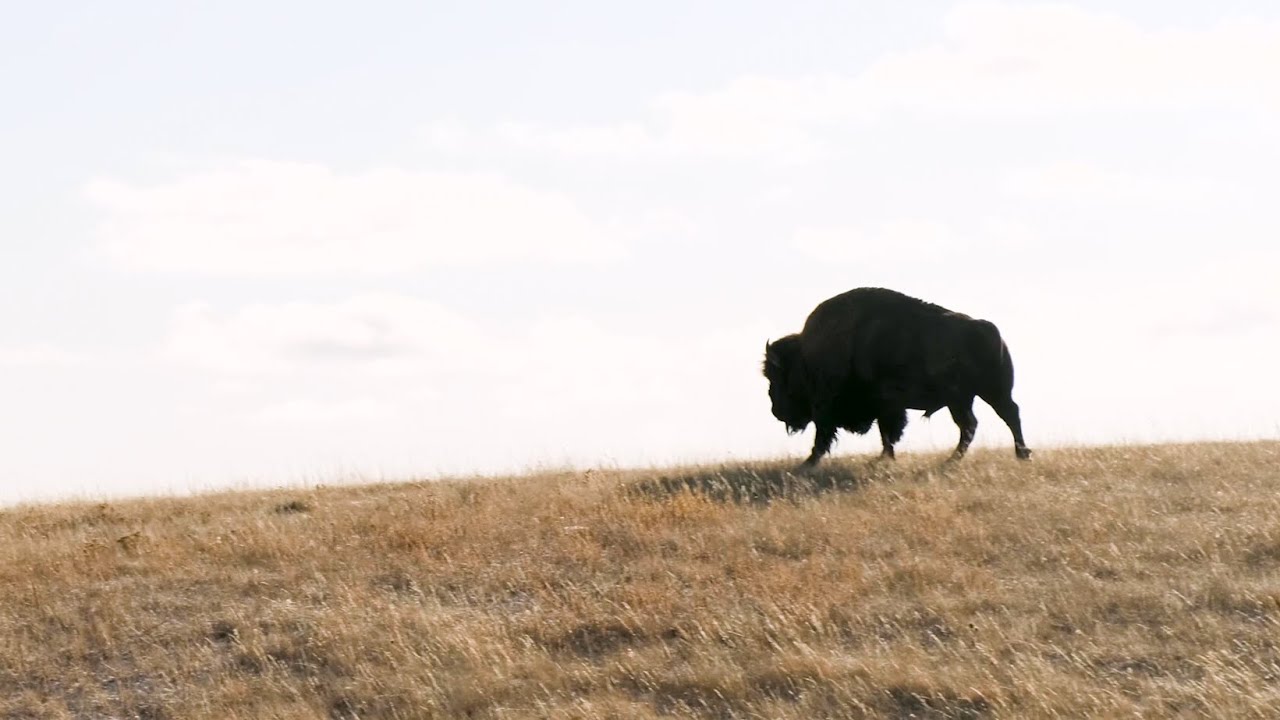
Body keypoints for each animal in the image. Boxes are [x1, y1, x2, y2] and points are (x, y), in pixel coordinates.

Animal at [763, 287, 1031, 467]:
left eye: (776, 379)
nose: (775, 411)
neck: (808, 357)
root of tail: (989, 329)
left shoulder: (834, 408)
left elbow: (826, 436)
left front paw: (808, 462)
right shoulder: (885, 407)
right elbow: (886, 433)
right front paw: (885, 457)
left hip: (974, 396)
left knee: (990, 420)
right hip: (976, 396)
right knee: (992, 419)